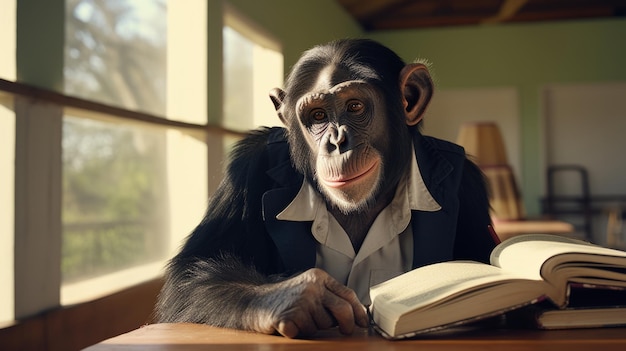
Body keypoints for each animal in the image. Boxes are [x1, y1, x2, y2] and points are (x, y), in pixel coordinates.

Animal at [154, 38, 494, 338]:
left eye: (354, 106)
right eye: (317, 115)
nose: (336, 142)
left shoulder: (468, 184)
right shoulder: (247, 166)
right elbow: (192, 268)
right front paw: (298, 297)